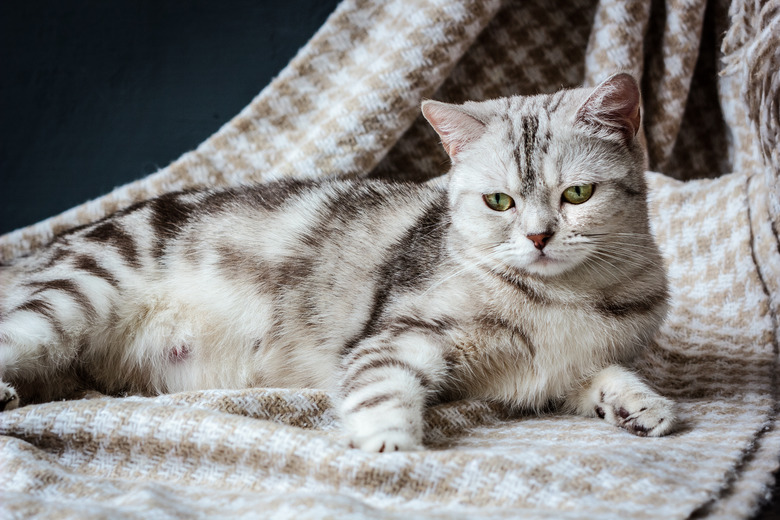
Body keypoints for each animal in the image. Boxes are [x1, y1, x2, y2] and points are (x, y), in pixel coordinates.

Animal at [0, 73, 676, 450]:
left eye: (577, 194)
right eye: (499, 201)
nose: (538, 237)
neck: (561, 299)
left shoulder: (557, 369)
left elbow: (602, 374)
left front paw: (640, 404)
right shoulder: (399, 335)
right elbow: (381, 388)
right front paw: (390, 449)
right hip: (70, 300)